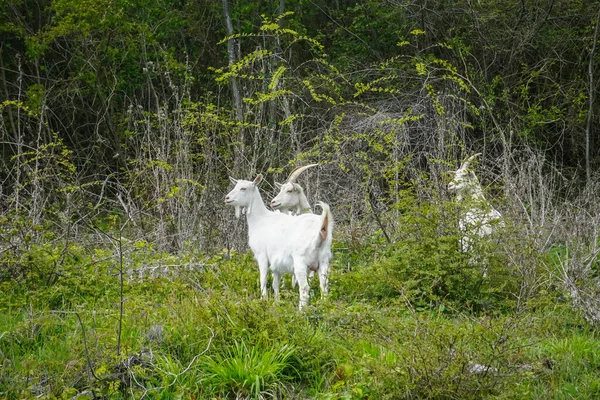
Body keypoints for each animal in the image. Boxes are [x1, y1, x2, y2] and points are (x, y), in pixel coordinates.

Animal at [225, 173, 332, 310]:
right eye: (236, 185)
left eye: (243, 188)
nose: (227, 198)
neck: (260, 220)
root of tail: (321, 231)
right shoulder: (276, 263)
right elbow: (275, 283)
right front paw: (277, 302)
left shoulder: (262, 256)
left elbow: (263, 279)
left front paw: (264, 300)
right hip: (323, 261)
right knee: (324, 286)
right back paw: (324, 306)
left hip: (300, 262)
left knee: (304, 288)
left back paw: (301, 311)